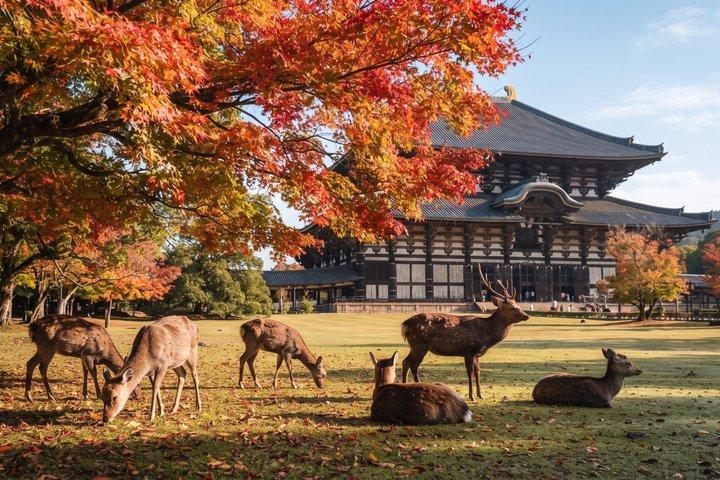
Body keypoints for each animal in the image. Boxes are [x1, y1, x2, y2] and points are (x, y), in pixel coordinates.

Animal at [401, 269, 529, 401]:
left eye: (518, 305)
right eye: (512, 308)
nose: (526, 315)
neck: (487, 335)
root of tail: (405, 324)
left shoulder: (477, 354)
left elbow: (478, 372)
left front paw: (480, 395)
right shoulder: (469, 351)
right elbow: (470, 372)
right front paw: (472, 396)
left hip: (414, 346)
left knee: (405, 362)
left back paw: (404, 385)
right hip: (420, 345)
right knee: (413, 365)